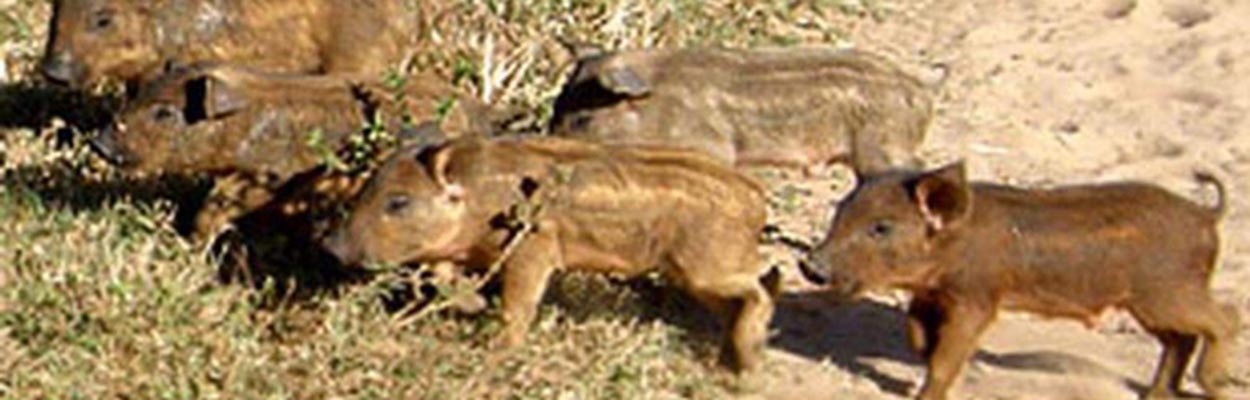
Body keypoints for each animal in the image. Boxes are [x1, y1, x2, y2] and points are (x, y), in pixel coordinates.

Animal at [324, 136, 776, 372]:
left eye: (398, 202)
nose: (331, 244)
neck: (480, 196)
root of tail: (757, 197)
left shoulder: (533, 252)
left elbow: (518, 304)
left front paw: (496, 351)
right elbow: (441, 274)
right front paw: (472, 307)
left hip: (709, 267)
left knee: (763, 284)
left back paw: (750, 365)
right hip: (696, 276)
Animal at [798, 162, 1239, 400]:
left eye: (881, 228)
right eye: (841, 209)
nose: (809, 265)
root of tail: (1206, 215)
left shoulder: (977, 299)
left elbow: (947, 358)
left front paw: (922, 392)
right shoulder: (931, 295)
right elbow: (917, 333)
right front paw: (919, 356)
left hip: (1169, 293)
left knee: (1225, 318)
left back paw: (1217, 385)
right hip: (1147, 305)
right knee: (1181, 340)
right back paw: (1153, 394)